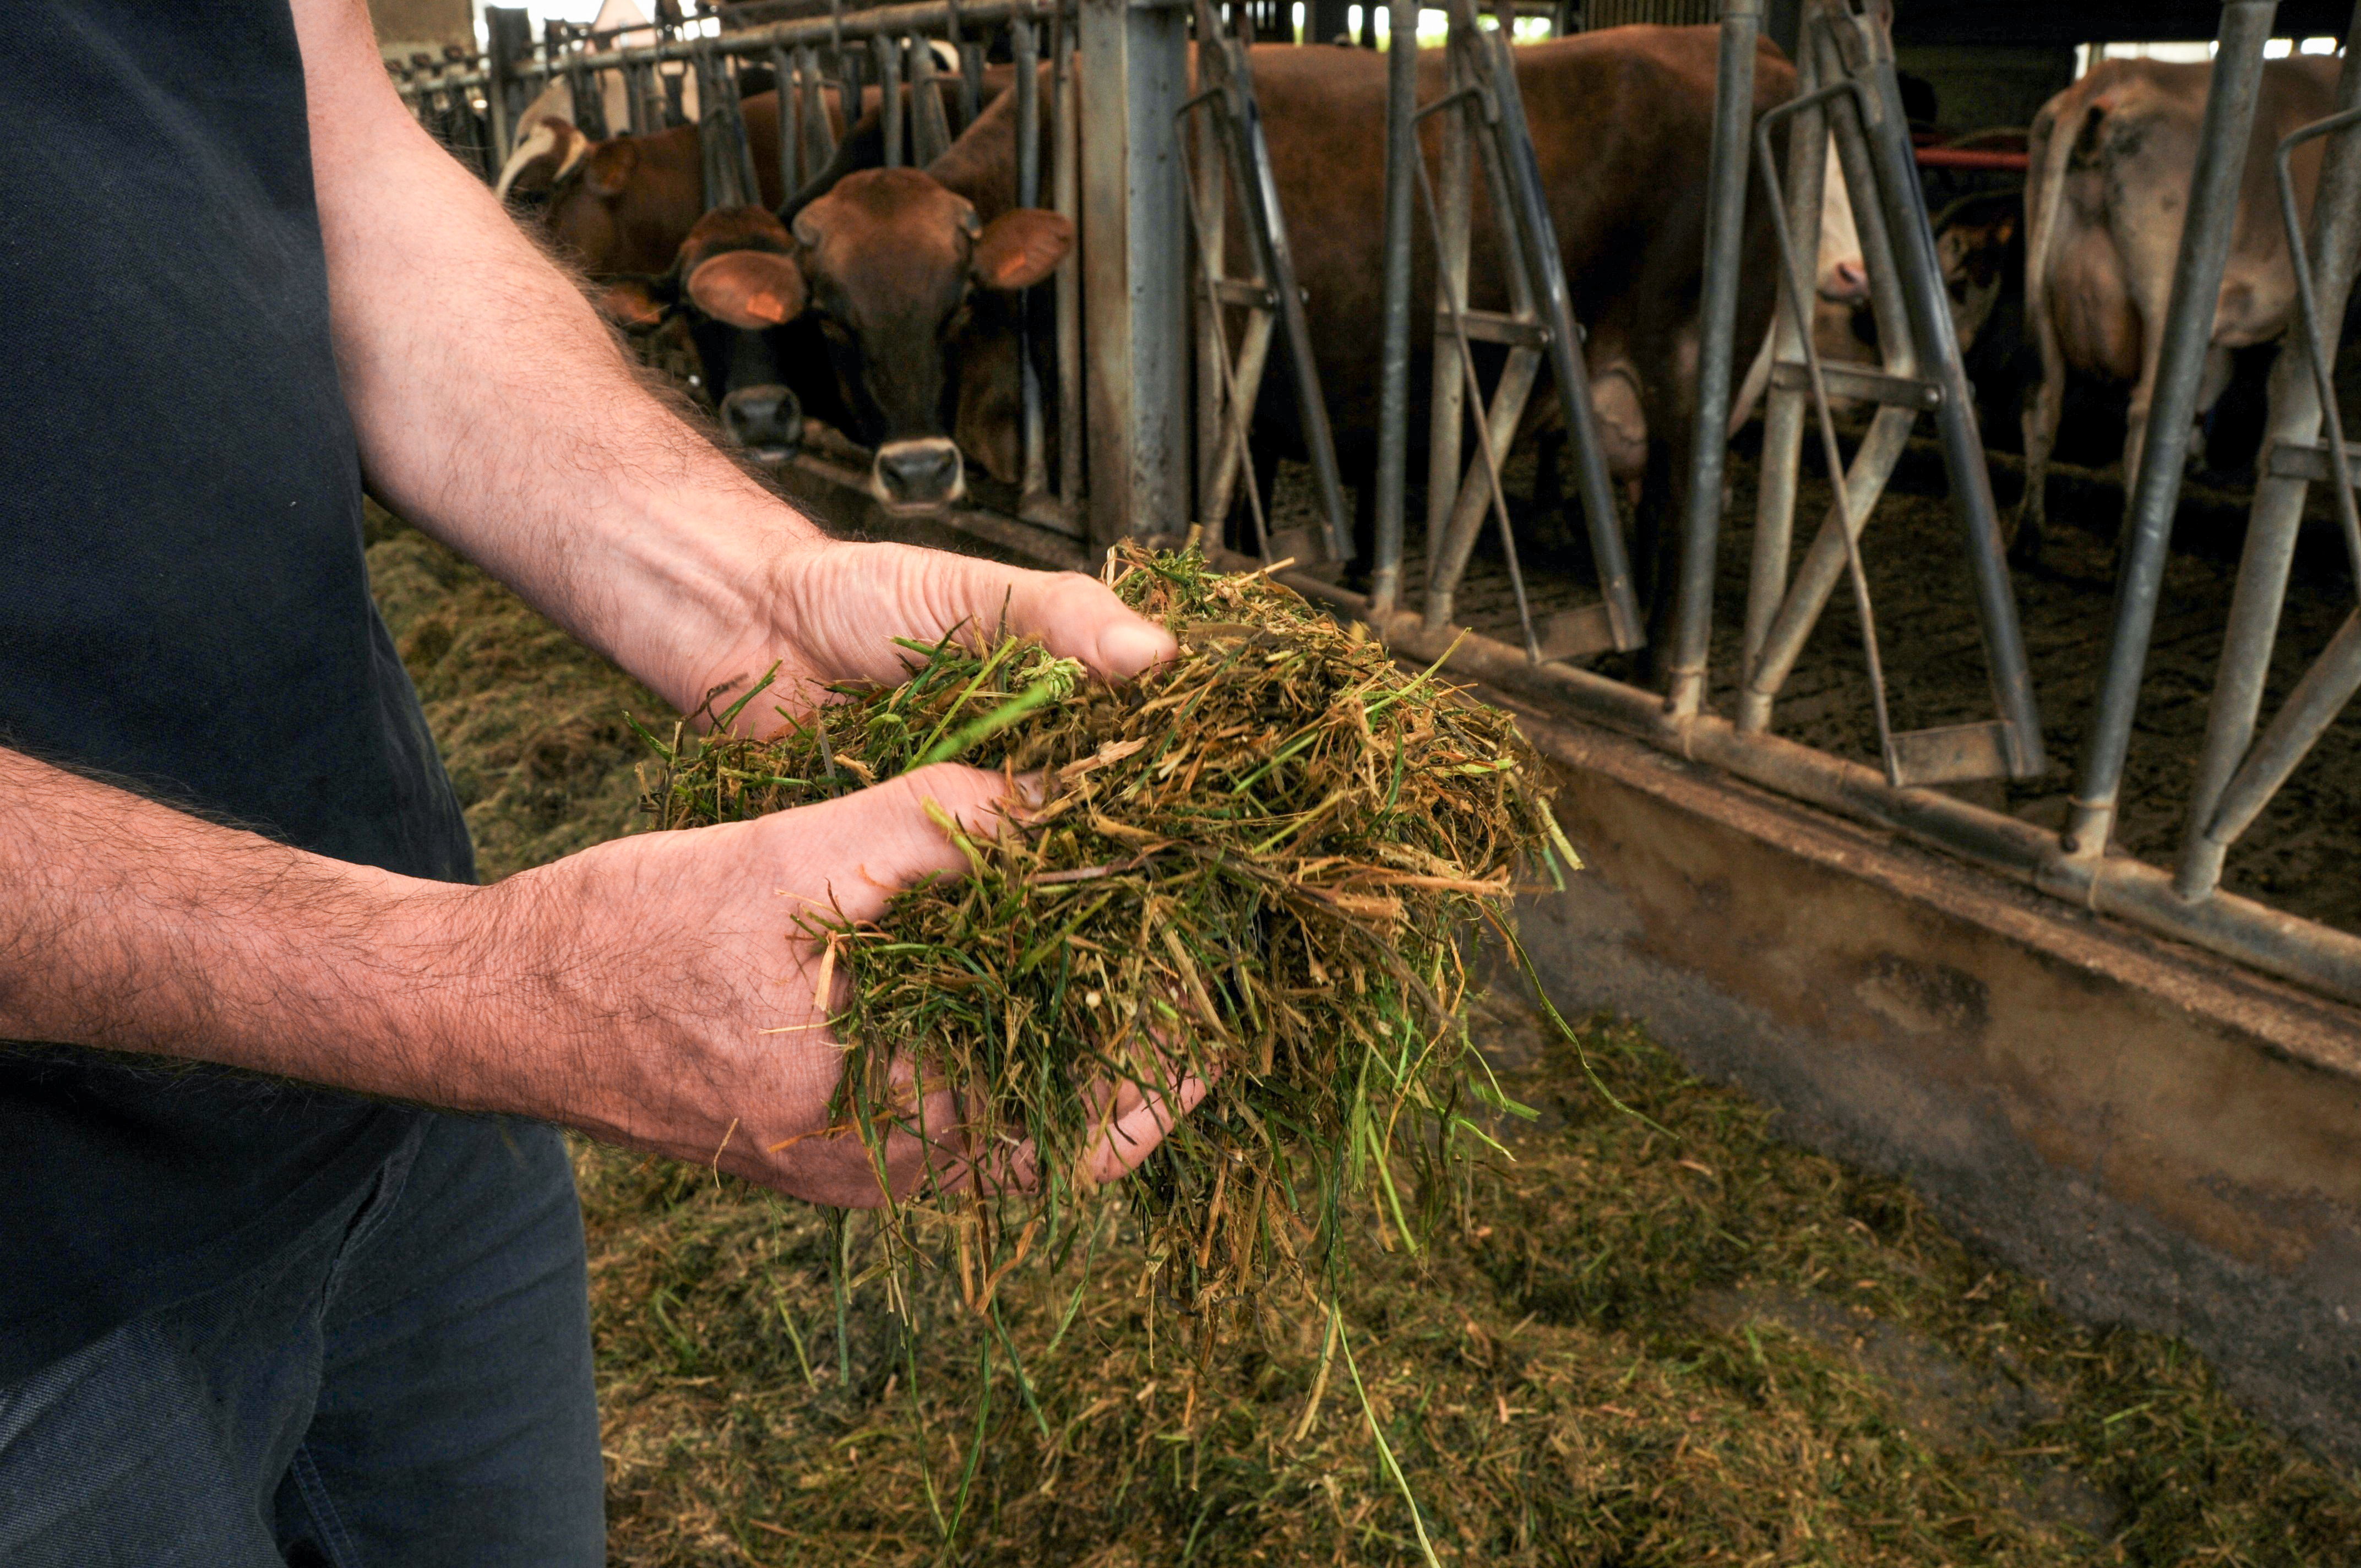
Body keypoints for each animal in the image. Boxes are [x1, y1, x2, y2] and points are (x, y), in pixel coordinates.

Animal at [2011, 55, 2342, 564]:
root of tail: (2114, 72)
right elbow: (2283, 384)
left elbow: (2216, 380)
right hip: (2161, 295)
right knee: (2144, 415)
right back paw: (2127, 547)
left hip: (2041, 286)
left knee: (2042, 399)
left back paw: (2029, 536)